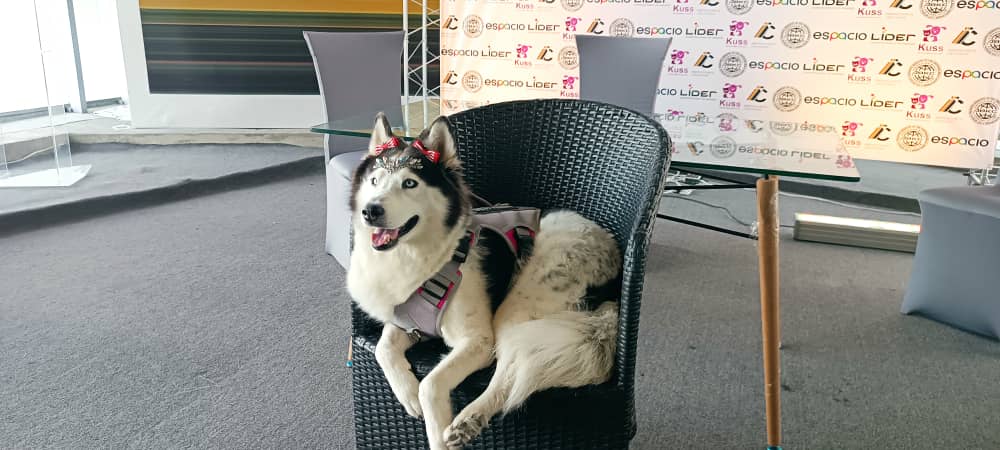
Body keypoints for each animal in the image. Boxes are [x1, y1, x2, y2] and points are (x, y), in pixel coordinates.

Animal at [348, 114, 620, 448]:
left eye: (410, 183)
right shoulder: (410, 325)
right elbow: (382, 348)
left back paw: (470, 419)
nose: (370, 211)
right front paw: (408, 393)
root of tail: (612, 254)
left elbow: (431, 383)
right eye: (374, 181)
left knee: (511, 366)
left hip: (518, 303)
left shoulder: (477, 340)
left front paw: (433, 423)